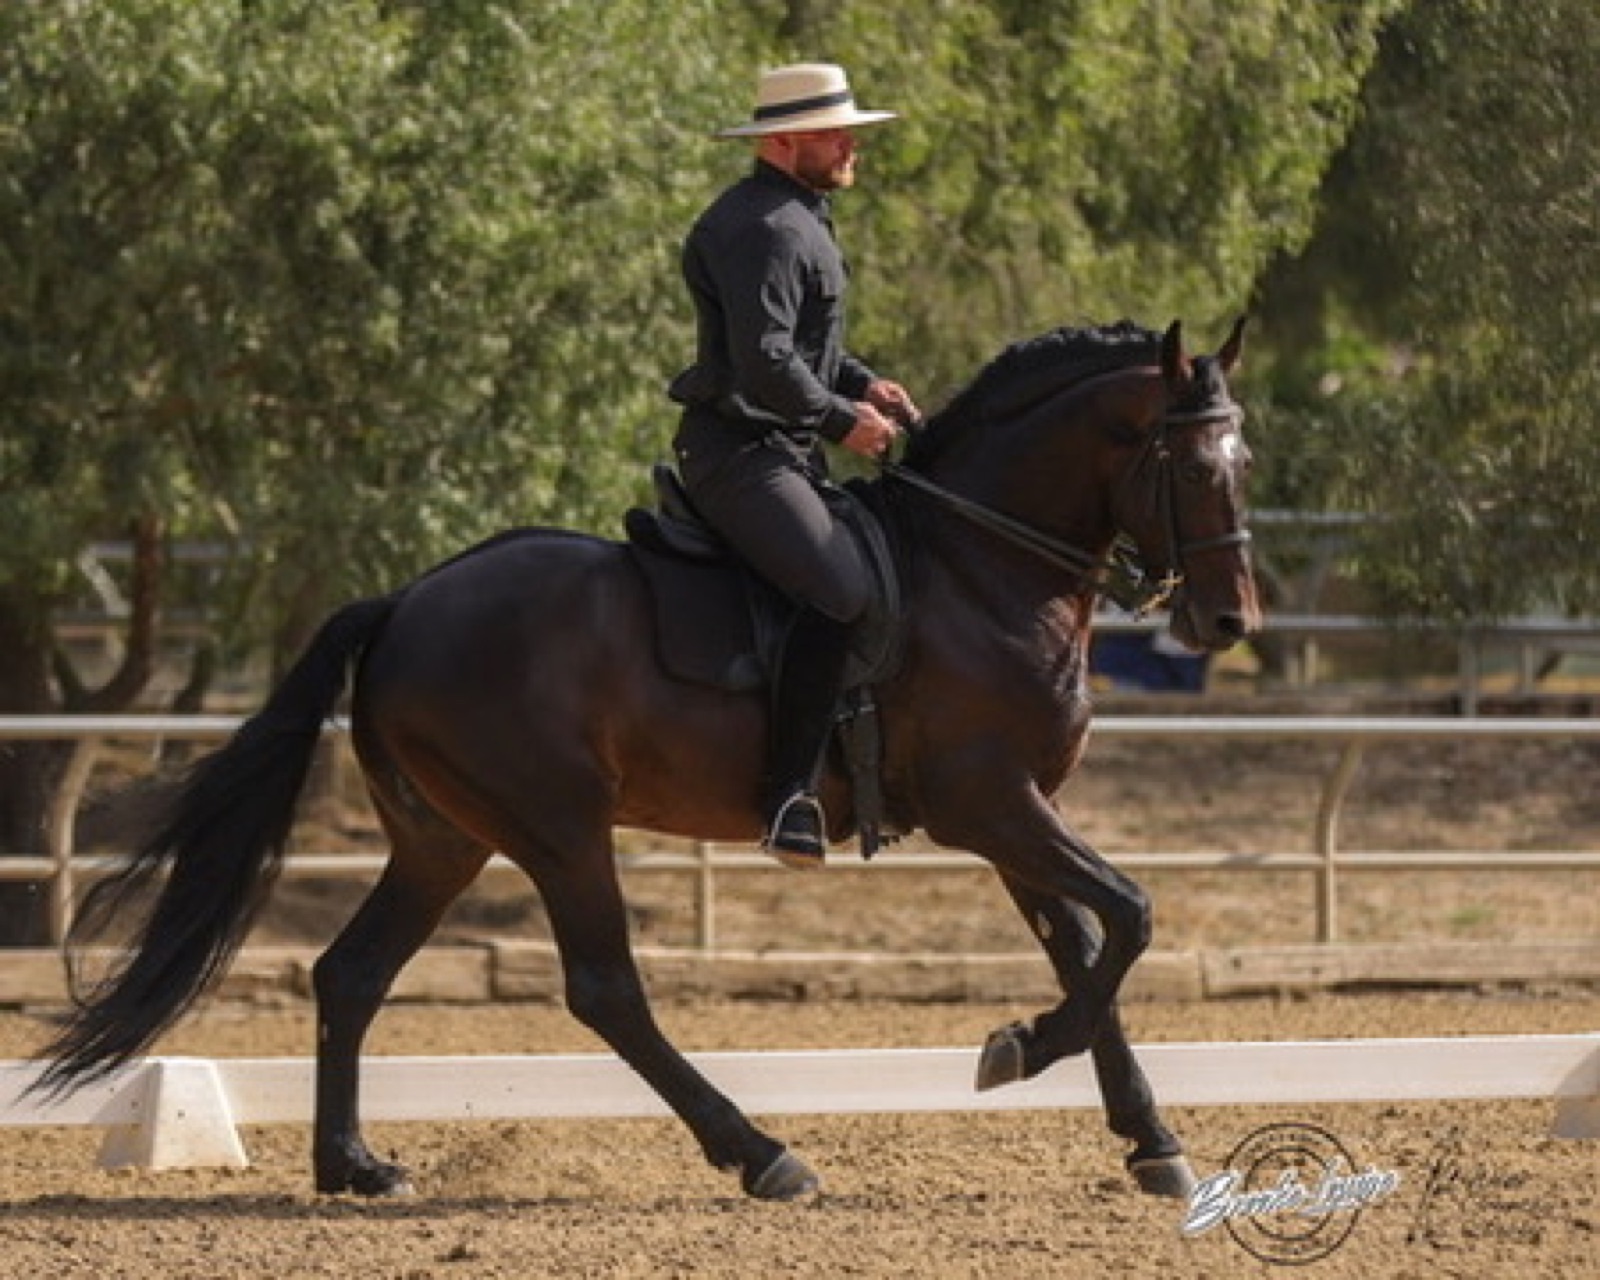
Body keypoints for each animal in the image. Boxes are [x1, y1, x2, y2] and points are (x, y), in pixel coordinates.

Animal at [37, 318, 1261, 1203]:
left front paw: (1149, 1140)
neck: (980, 565)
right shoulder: (988, 804)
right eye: (1191, 461)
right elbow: (1131, 915)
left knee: (352, 972)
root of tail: (404, 601)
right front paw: (1017, 1049)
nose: (1228, 620)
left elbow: (1087, 948)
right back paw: (762, 1154)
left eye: (1242, 458)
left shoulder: (1016, 815)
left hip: (445, 840)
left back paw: (355, 1166)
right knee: (605, 990)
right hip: (560, 829)